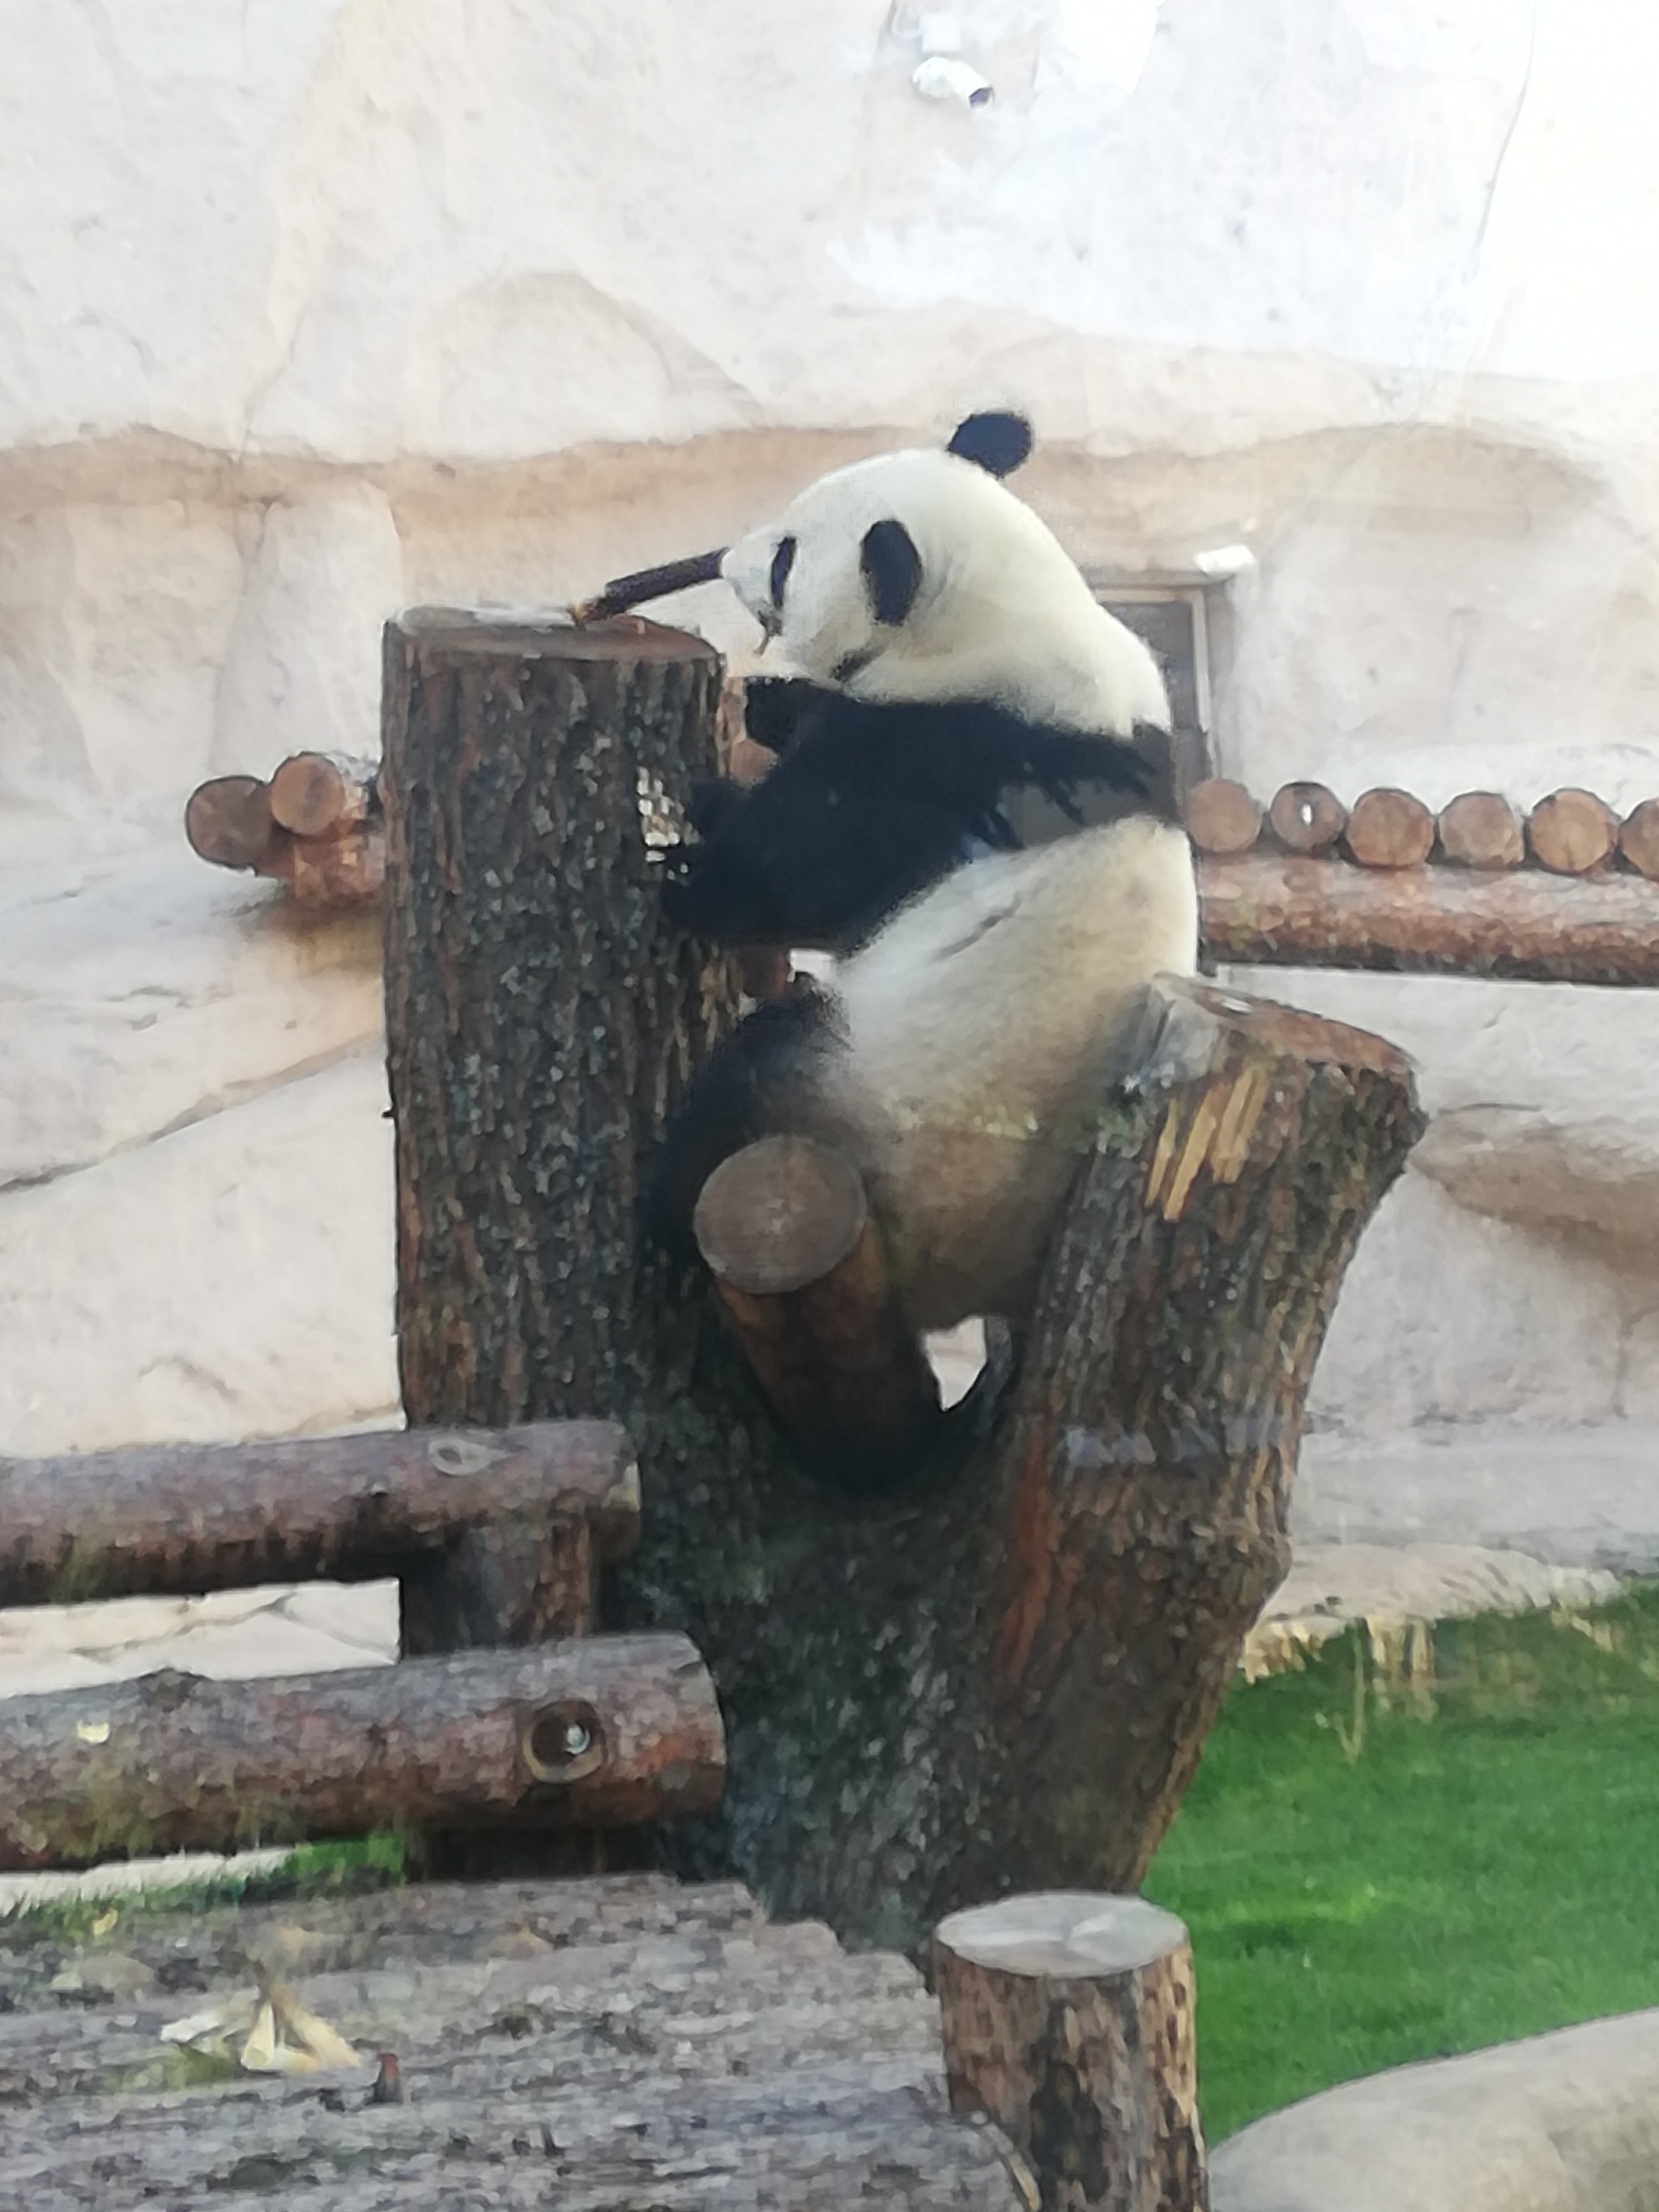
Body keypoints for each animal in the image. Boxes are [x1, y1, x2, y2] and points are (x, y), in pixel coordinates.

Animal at [641, 411, 1203, 1327]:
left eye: (787, 556)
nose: (724, 559)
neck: (1004, 614)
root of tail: (970, 1292)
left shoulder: (942, 748)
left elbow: (793, 877)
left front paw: (695, 851)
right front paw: (771, 706)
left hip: (877, 1126)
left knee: (753, 1081)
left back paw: (663, 1216)